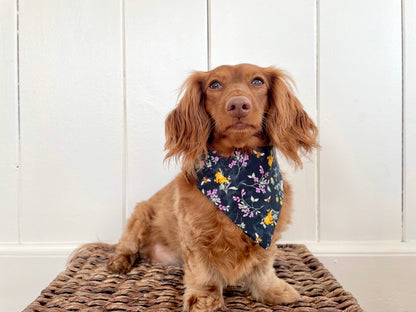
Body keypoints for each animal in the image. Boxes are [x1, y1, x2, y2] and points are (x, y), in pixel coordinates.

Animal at [107, 62, 318, 310]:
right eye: (215, 84)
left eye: (258, 81)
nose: (238, 105)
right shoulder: (195, 236)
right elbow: (202, 272)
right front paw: (205, 299)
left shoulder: (269, 234)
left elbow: (263, 266)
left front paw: (270, 289)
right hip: (141, 213)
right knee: (127, 245)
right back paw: (119, 261)